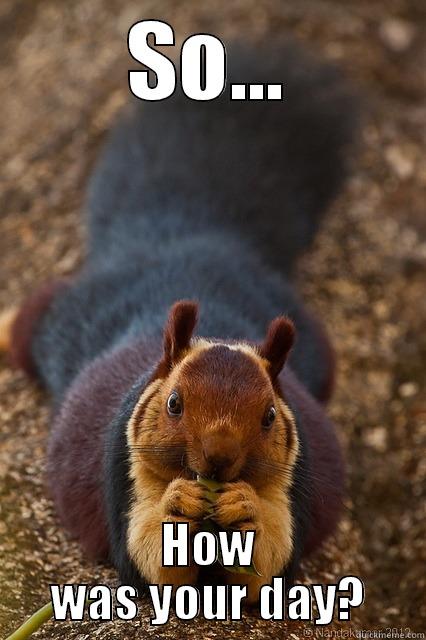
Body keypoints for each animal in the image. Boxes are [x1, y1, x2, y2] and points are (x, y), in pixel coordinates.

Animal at [0, 40, 357, 604]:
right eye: (173, 404)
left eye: (269, 416)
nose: (217, 458)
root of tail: (189, 238)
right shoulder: (119, 470)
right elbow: (146, 564)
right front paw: (178, 504)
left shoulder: (295, 484)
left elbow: (272, 563)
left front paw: (243, 508)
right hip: (74, 317)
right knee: (37, 315)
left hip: (315, 343)